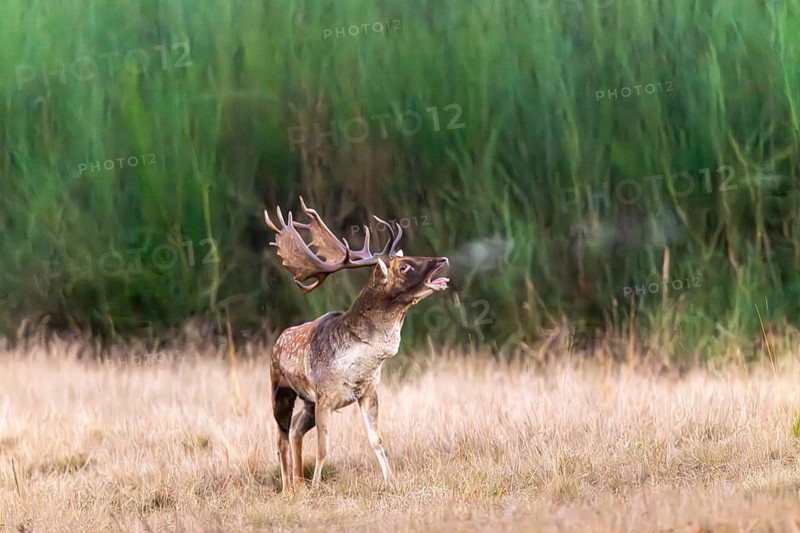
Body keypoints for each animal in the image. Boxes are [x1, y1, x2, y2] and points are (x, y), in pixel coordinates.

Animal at [263, 197, 449, 491]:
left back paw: (300, 483)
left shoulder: (369, 391)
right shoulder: (325, 396)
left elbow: (377, 441)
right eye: (404, 266)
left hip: (307, 403)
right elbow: (324, 448)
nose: (441, 259)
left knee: (294, 430)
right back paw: (289, 487)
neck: (357, 366)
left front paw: (391, 480)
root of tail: (279, 339)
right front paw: (318, 486)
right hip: (280, 389)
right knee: (281, 437)